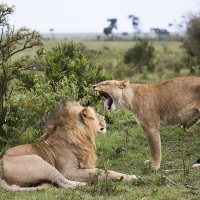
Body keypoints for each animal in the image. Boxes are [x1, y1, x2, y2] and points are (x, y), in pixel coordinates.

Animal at [0, 101, 137, 191]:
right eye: (95, 115)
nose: (104, 118)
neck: (82, 136)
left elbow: (105, 171)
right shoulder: (69, 172)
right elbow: (103, 172)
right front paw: (131, 177)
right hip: (39, 161)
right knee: (64, 183)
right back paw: (83, 185)